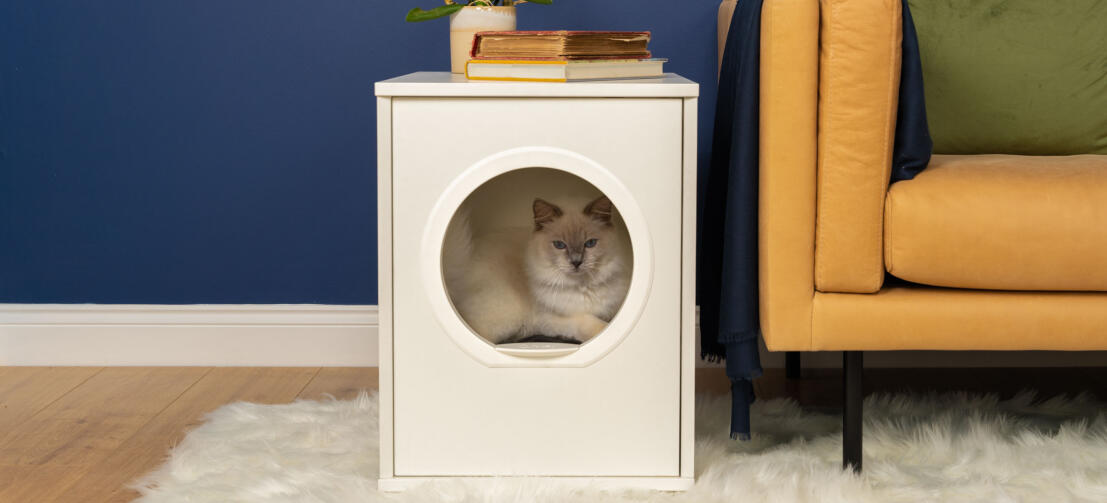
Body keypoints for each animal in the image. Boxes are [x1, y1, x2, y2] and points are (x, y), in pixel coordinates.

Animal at [440, 194, 633, 343]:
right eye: (559, 245)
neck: (583, 287)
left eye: (590, 243)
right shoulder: (553, 318)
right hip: (508, 317)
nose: (576, 262)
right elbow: (592, 323)